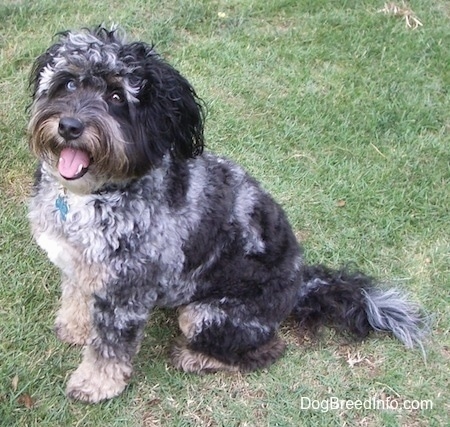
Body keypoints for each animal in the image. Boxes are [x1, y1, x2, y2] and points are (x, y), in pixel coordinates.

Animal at [27, 27, 426, 404]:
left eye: (116, 97)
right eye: (69, 82)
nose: (70, 126)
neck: (95, 192)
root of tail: (299, 286)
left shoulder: (126, 291)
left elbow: (110, 345)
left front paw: (95, 384)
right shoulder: (79, 264)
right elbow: (76, 296)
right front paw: (75, 328)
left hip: (207, 314)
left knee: (266, 350)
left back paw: (195, 357)